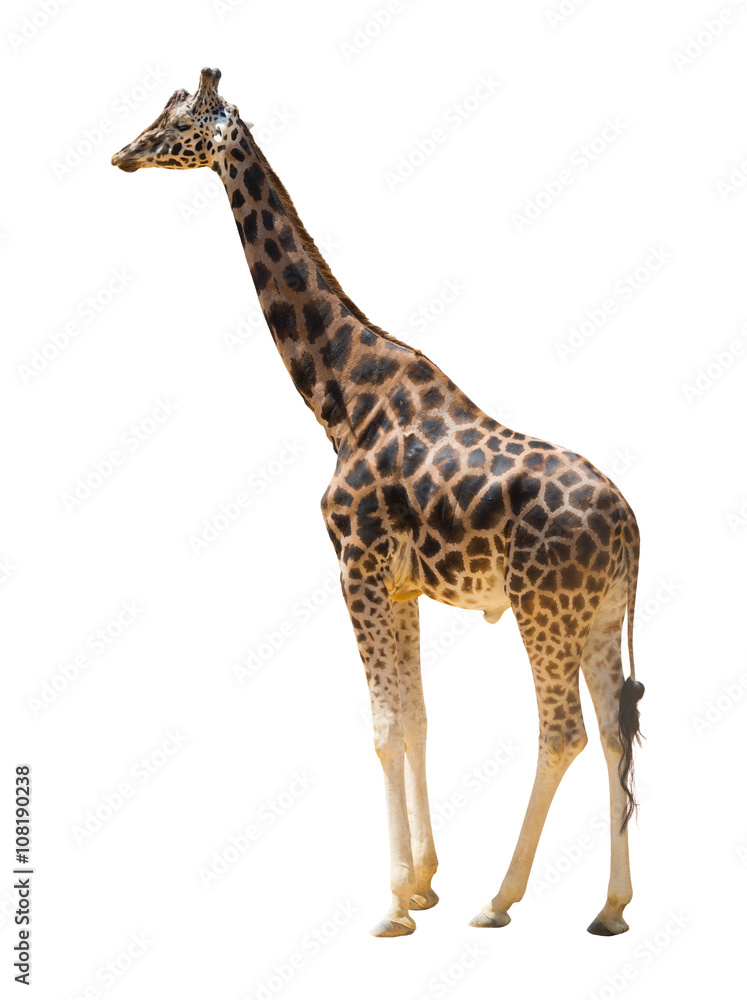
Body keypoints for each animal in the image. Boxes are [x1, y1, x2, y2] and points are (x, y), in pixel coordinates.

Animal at [112, 68, 645, 938]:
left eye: (177, 122)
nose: (121, 153)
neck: (336, 395)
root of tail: (632, 526)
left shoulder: (353, 566)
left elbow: (383, 724)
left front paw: (394, 905)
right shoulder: (399, 585)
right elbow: (417, 717)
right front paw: (422, 882)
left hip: (544, 608)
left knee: (561, 731)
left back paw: (499, 899)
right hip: (598, 614)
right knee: (611, 732)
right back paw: (609, 908)